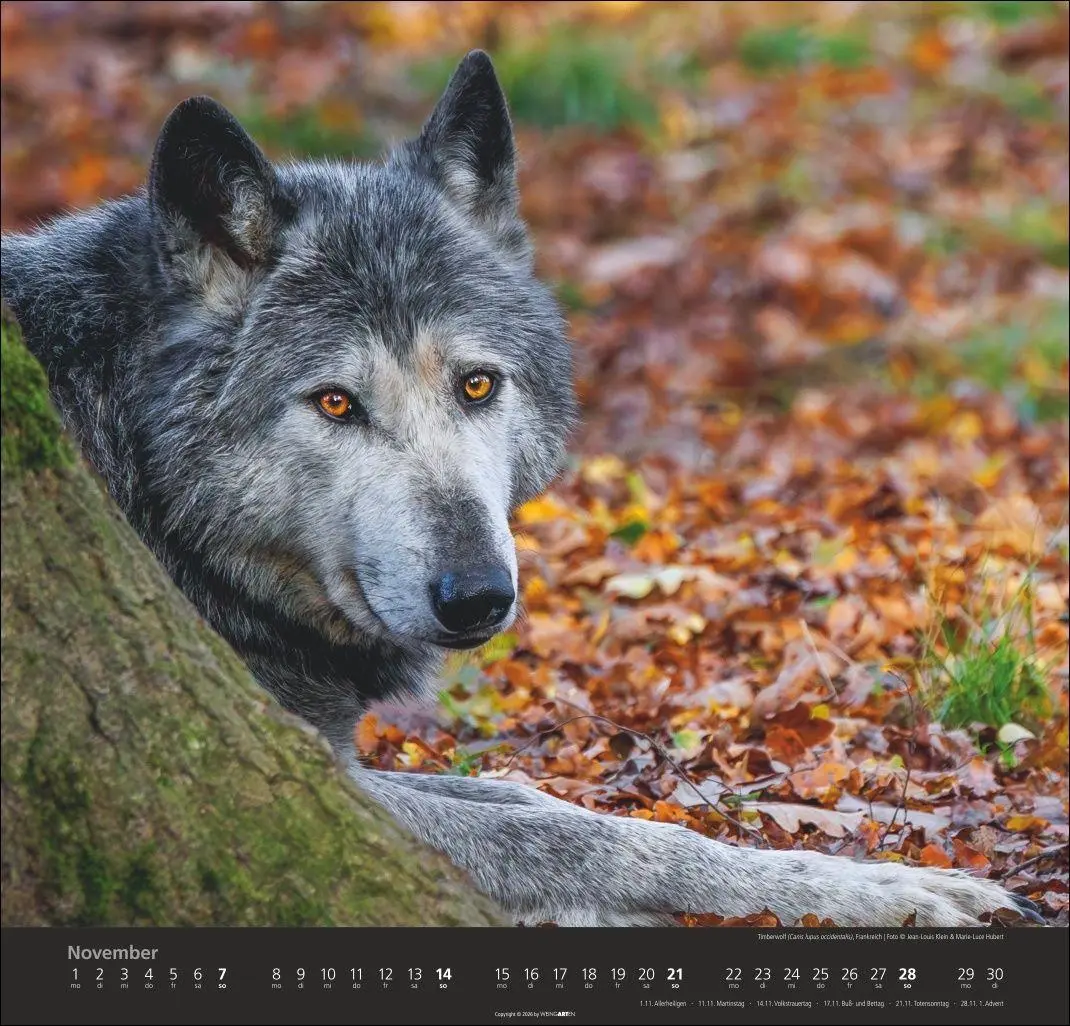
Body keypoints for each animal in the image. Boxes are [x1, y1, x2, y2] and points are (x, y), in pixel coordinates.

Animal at [1, 51, 1041, 927]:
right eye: (336, 402)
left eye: (476, 385)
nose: (476, 597)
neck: (143, 493)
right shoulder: (269, 779)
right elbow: (575, 833)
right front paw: (885, 890)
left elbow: (527, 792)